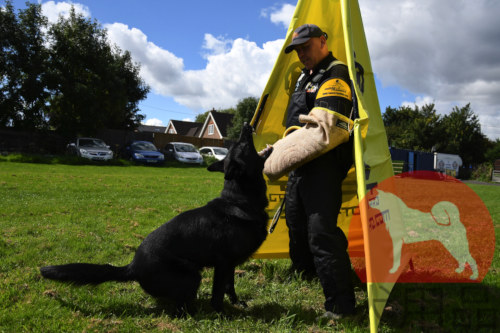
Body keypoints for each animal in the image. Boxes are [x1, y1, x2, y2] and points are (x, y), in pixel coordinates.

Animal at [41, 122, 272, 312]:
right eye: (243, 145)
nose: (246, 124)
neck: (239, 200)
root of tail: (132, 267)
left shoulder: (231, 264)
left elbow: (230, 286)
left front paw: (237, 303)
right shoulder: (222, 263)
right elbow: (218, 293)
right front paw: (221, 312)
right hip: (192, 275)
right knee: (179, 306)